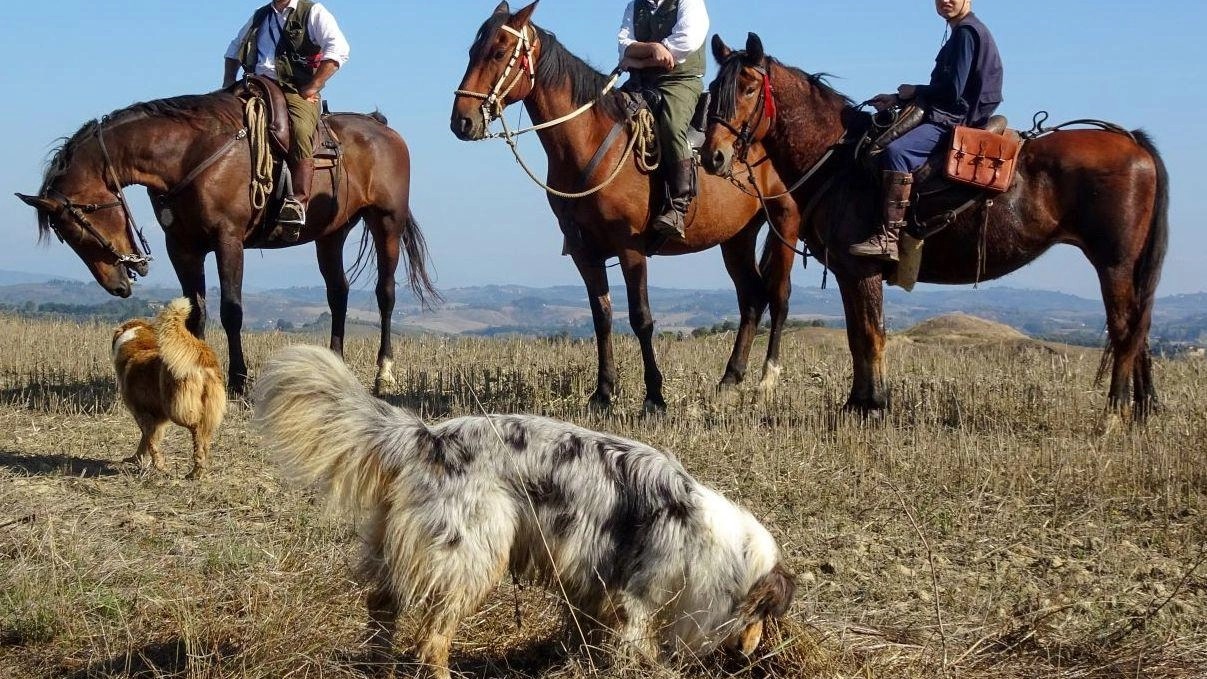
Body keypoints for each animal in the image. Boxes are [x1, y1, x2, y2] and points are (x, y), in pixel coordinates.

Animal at [17, 91, 438, 395]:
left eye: (77, 230)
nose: (118, 285)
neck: (188, 155)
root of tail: (382, 128)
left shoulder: (228, 241)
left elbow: (231, 310)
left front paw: (238, 379)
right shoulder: (182, 248)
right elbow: (195, 313)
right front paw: (191, 372)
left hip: (386, 223)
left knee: (385, 294)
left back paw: (384, 374)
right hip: (331, 235)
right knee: (338, 293)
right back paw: (334, 363)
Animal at [451, 1, 803, 412]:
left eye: (499, 52)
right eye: (473, 51)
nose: (462, 121)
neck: (590, 140)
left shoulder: (630, 247)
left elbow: (640, 318)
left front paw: (654, 396)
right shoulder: (584, 251)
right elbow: (602, 317)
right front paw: (603, 393)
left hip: (784, 223)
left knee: (778, 296)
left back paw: (766, 380)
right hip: (736, 238)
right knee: (751, 297)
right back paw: (729, 379)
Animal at [701, 34, 1169, 418]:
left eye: (748, 88)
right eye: (713, 92)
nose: (713, 157)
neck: (840, 161)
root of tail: (1133, 142)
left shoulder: (861, 268)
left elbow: (870, 335)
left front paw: (873, 405)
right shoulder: (850, 273)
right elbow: (856, 336)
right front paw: (857, 403)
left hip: (1112, 263)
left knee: (1125, 328)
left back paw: (1113, 415)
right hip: (1127, 268)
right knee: (1139, 328)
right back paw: (1141, 411)